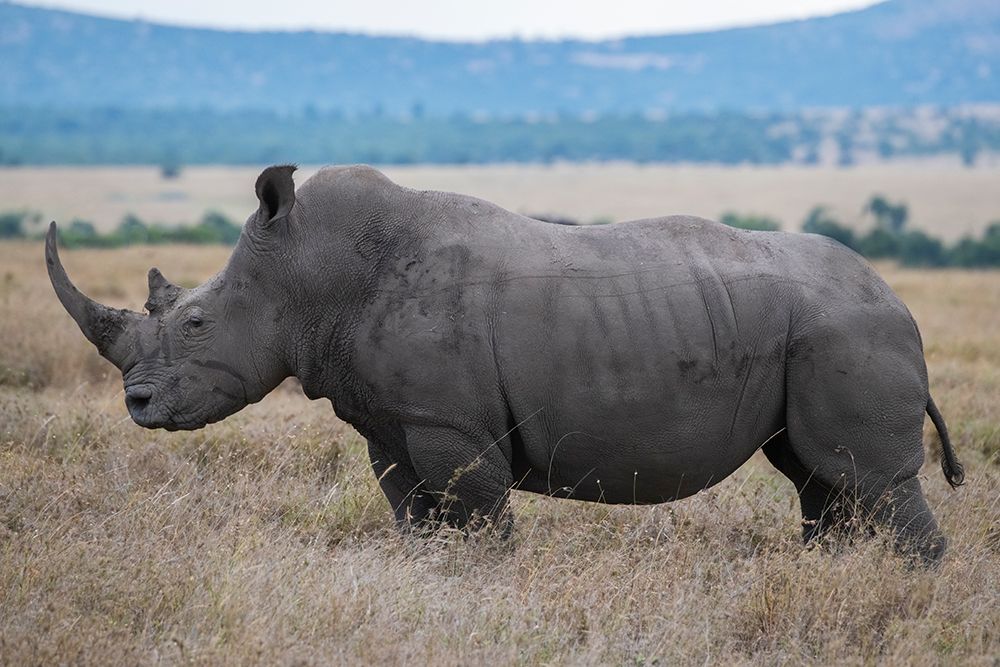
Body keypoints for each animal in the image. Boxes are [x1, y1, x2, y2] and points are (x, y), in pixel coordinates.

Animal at [46, 165, 964, 563]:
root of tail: (900, 303)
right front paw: (426, 573)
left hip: (849, 331)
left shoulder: (450, 422)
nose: (136, 402)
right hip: (820, 334)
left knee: (866, 479)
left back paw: (905, 584)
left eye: (196, 321)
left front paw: (485, 578)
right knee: (821, 477)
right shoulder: (393, 421)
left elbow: (479, 513)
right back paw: (835, 573)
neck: (308, 271)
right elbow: (411, 511)